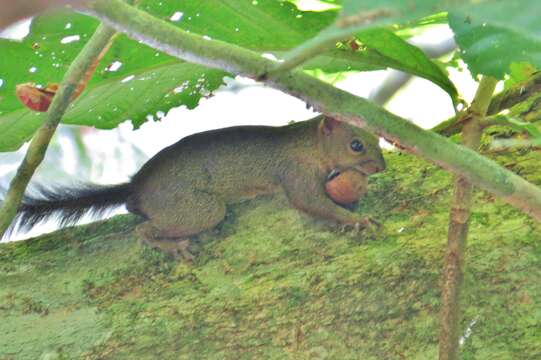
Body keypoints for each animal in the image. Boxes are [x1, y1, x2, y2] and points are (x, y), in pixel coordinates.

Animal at [5, 115, 384, 258]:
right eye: (356, 145)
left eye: (377, 137)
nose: (381, 166)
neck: (308, 144)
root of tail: (135, 188)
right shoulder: (294, 173)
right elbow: (310, 202)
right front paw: (358, 220)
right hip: (197, 209)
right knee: (144, 228)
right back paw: (172, 245)